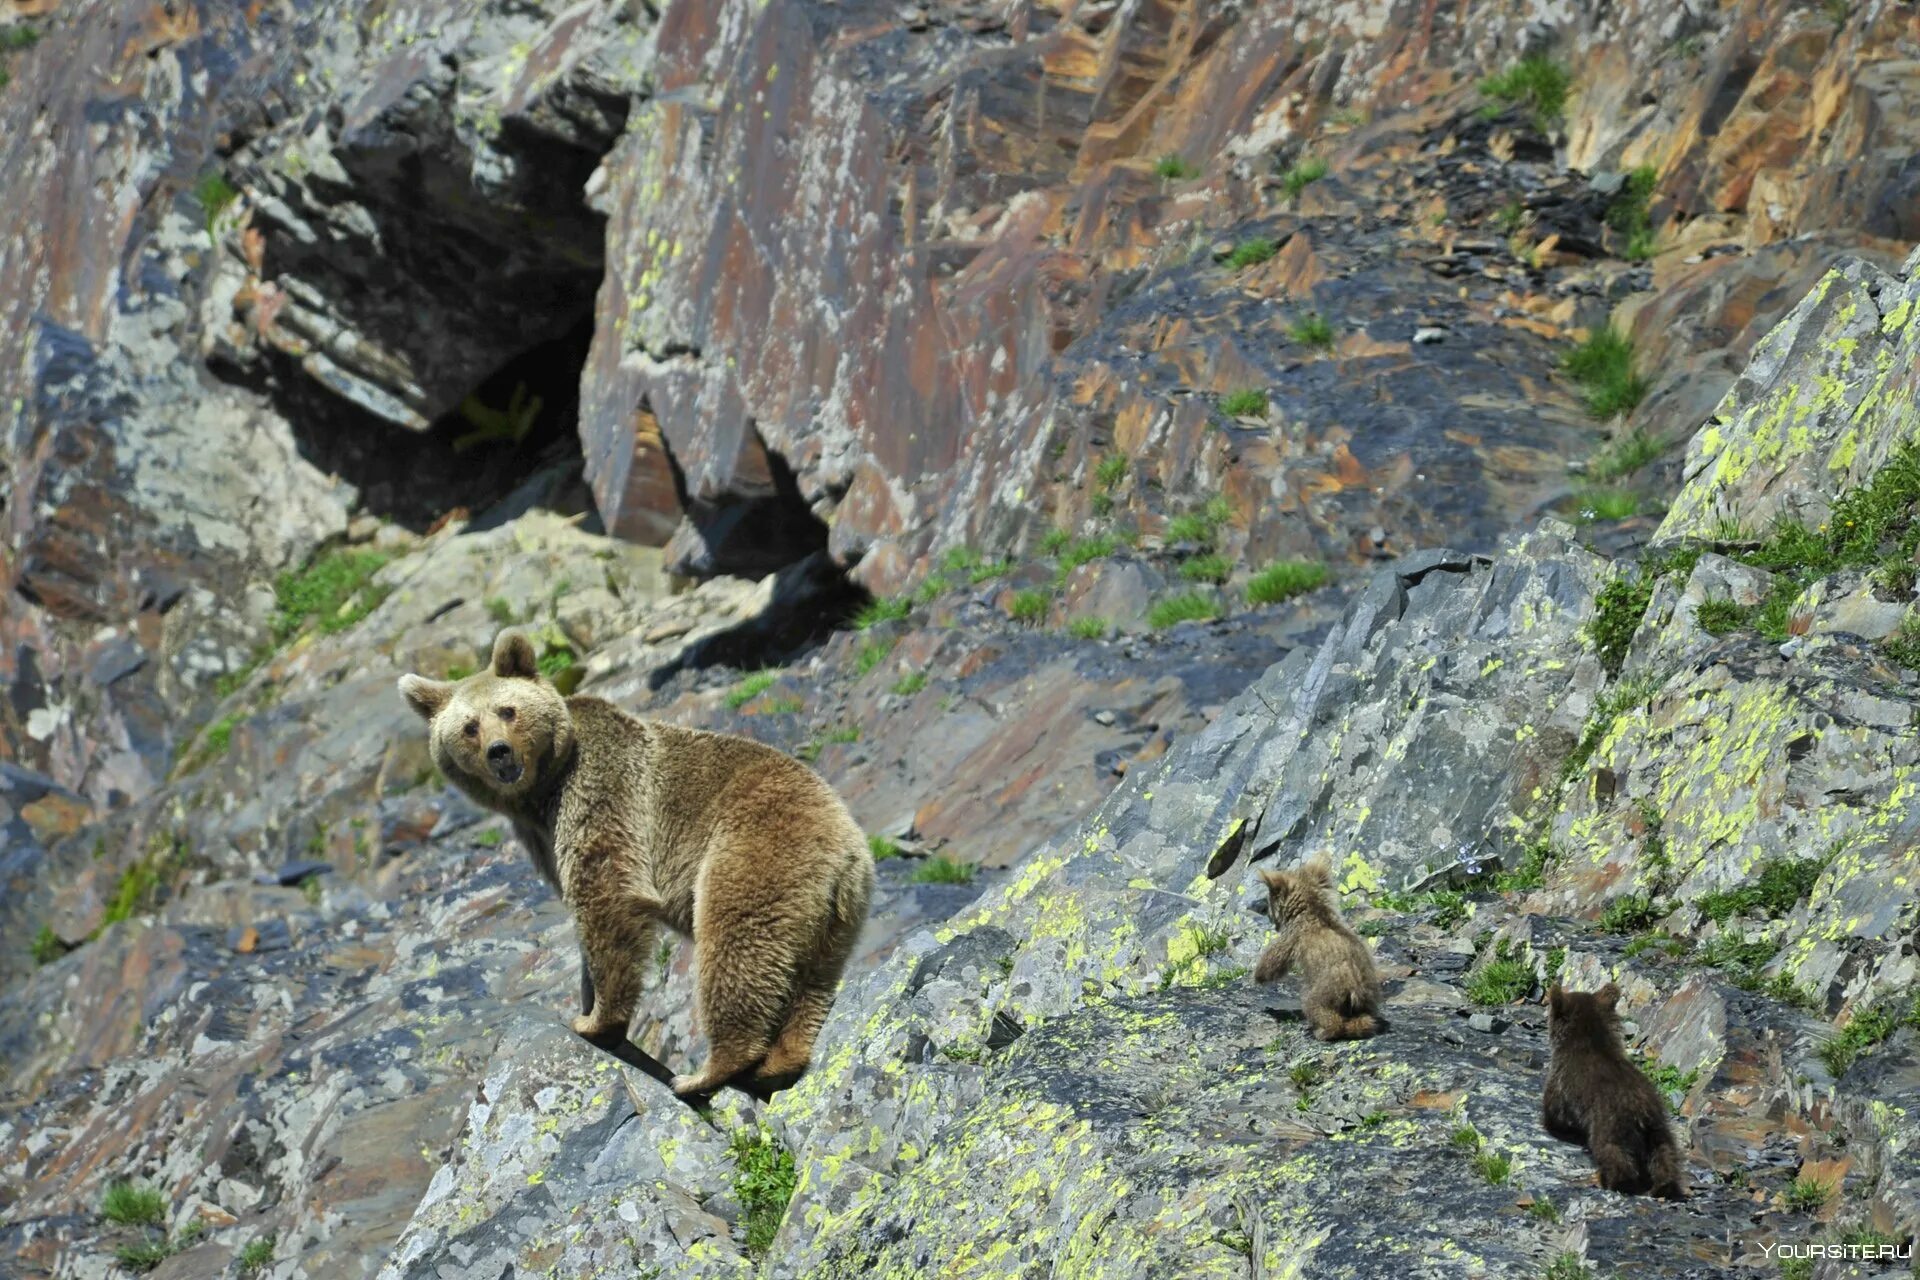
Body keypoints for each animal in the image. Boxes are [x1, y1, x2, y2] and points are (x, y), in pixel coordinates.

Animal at [401, 629, 875, 1090]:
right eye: (469, 727)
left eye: (508, 710)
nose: (498, 751)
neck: (542, 791)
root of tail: (847, 851)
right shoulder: (539, 836)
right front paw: (586, 1002)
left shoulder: (602, 787)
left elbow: (606, 890)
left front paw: (594, 1021)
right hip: (835, 918)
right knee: (812, 980)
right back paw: (779, 1061)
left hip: (754, 853)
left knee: (736, 944)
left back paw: (704, 1073)